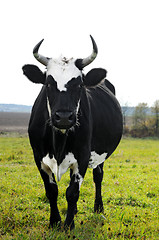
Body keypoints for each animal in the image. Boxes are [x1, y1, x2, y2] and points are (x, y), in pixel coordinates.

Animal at [21, 35, 122, 229]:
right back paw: (73, 211)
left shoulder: (83, 155)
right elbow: (52, 190)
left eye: (79, 84)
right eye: (48, 83)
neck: (58, 143)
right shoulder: (38, 156)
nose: (64, 117)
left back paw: (98, 207)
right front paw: (55, 221)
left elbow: (72, 192)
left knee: (98, 176)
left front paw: (68, 225)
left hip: (99, 154)